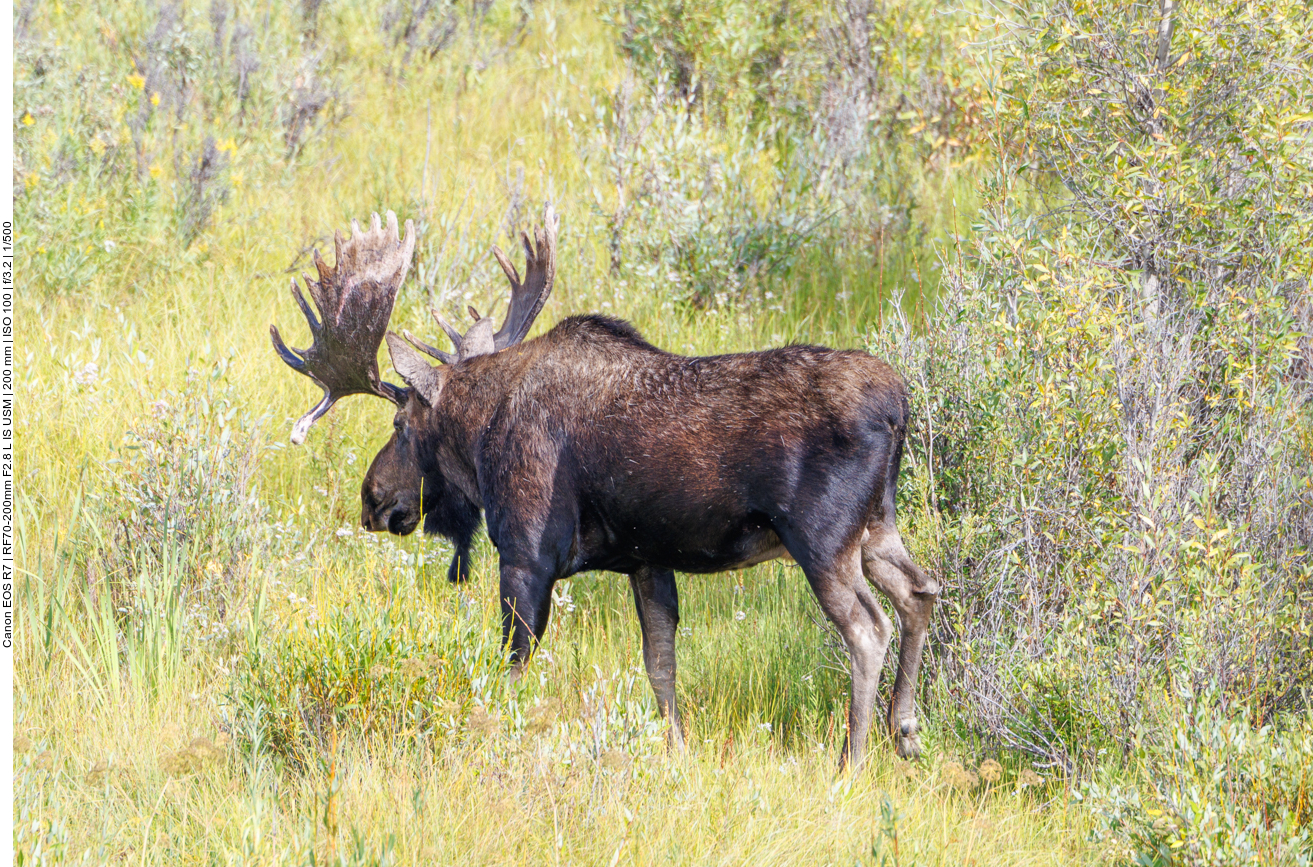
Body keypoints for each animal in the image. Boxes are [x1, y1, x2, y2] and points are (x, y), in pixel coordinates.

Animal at [271, 208, 940, 767]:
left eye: (400, 426)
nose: (372, 498)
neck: (480, 433)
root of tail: (898, 406)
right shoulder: (648, 560)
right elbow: (661, 668)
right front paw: (676, 753)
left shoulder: (526, 555)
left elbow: (512, 667)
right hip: (876, 528)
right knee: (920, 590)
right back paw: (905, 729)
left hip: (821, 538)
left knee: (868, 629)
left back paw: (852, 759)